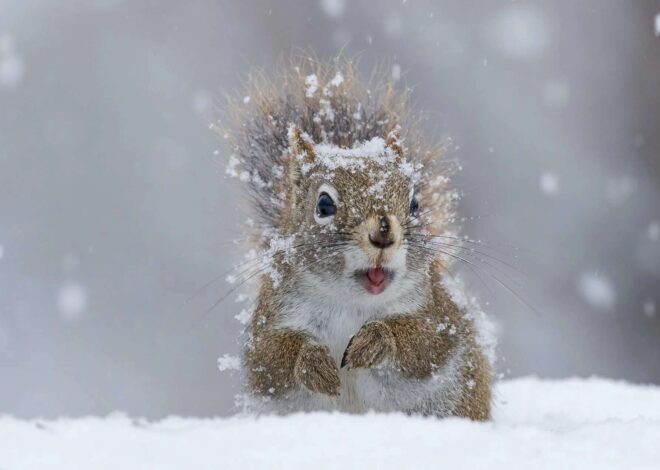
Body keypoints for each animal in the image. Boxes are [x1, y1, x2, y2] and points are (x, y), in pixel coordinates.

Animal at [219, 57, 492, 420]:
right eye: (324, 204)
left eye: (415, 204)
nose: (383, 232)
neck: (352, 303)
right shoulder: (270, 320)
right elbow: (271, 359)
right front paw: (313, 362)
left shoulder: (440, 315)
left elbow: (425, 343)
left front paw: (377, 340)